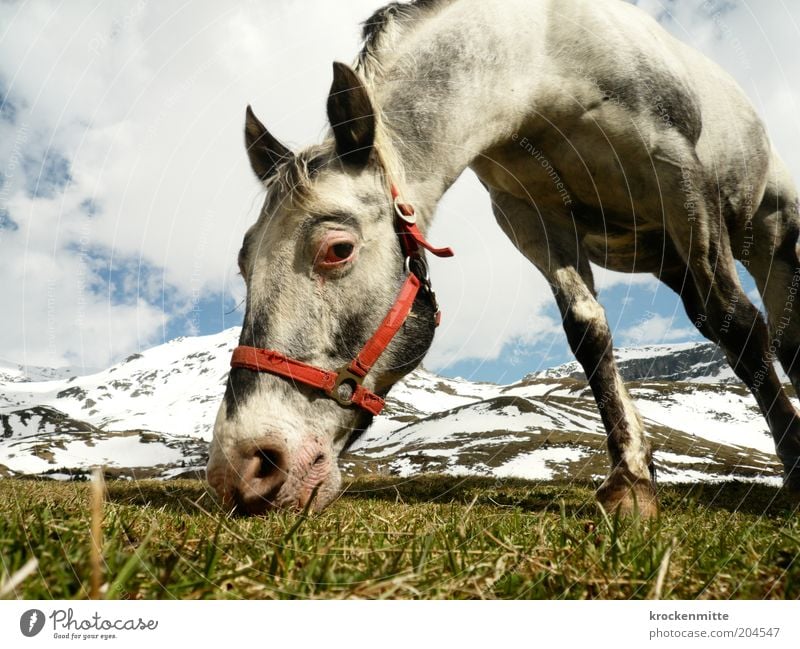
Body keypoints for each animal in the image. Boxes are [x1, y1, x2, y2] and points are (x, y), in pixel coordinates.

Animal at [206, 0, 800, 516]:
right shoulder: (530, 218)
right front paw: (631, 477)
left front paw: (793, 464)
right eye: (243, 264)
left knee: (773, 331)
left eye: (337, 249)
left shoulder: (680, 181)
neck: (543, 63)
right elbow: (588, 332)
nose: (242, 467)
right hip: (670, 261)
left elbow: (739, 326)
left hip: (770, 234)